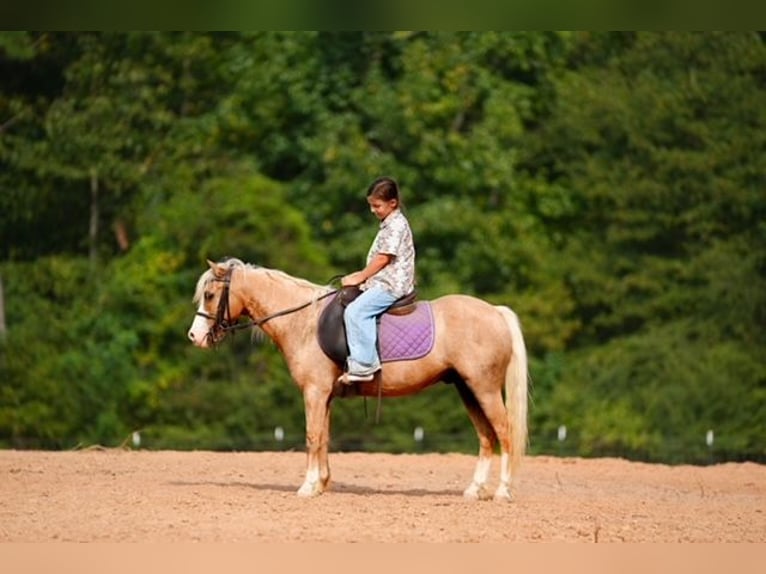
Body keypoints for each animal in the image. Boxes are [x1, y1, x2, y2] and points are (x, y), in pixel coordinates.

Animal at [187, 258, 528, 501]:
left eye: (209, 294)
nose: (194, 336)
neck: (304, 322)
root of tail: (495, 312)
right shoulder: (324, 395)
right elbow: (324, 437)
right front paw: (321, 484)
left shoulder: (314, 392)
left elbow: (312, 436)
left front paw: (307, 487)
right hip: (467, 389)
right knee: (486, 436)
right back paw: (475, 490)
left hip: (484, 389)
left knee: (504, 432)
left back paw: (503, 491)